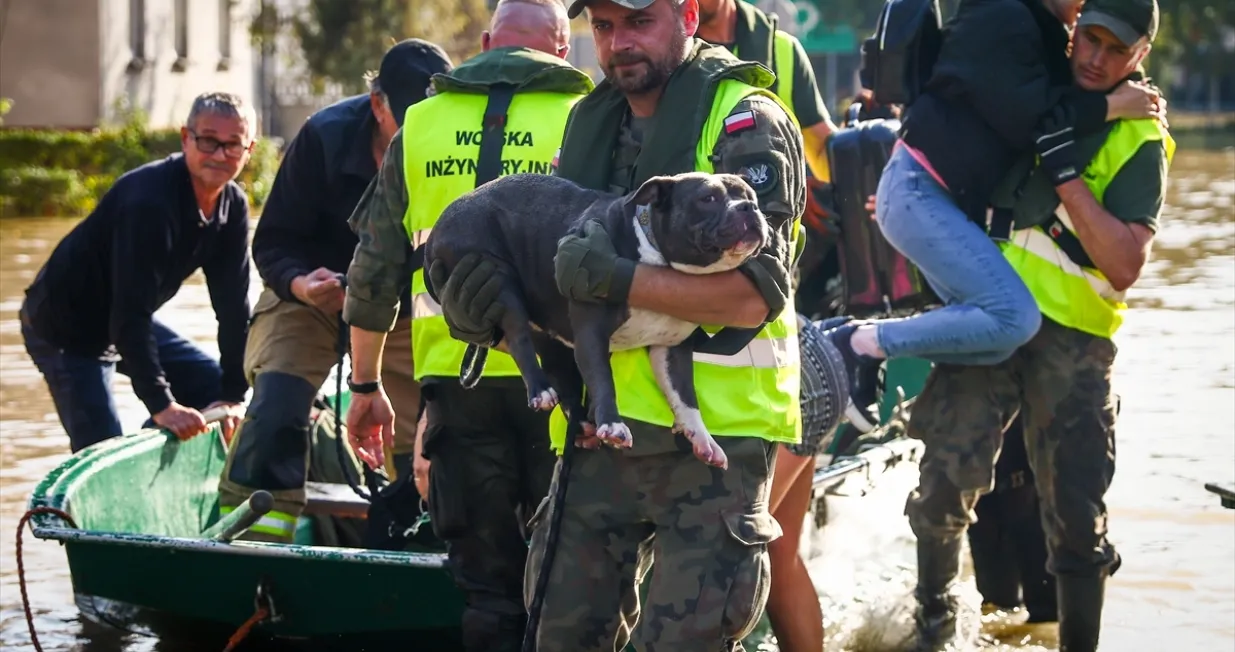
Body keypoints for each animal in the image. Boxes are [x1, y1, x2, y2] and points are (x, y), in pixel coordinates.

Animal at [427, 171, 770, 469]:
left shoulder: (672, 349)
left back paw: (579, 423)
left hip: (544, 329)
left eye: (750, 196)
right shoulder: (591, 335)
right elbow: (604, 380)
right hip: (495, 275)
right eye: (708, 198)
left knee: (560, 375)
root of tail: (437, 228)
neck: (657, 259)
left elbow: (685, 396)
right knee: (519, 338)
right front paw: (613, 425)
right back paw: (540, 390)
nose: (750, 207)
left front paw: (702, 438)